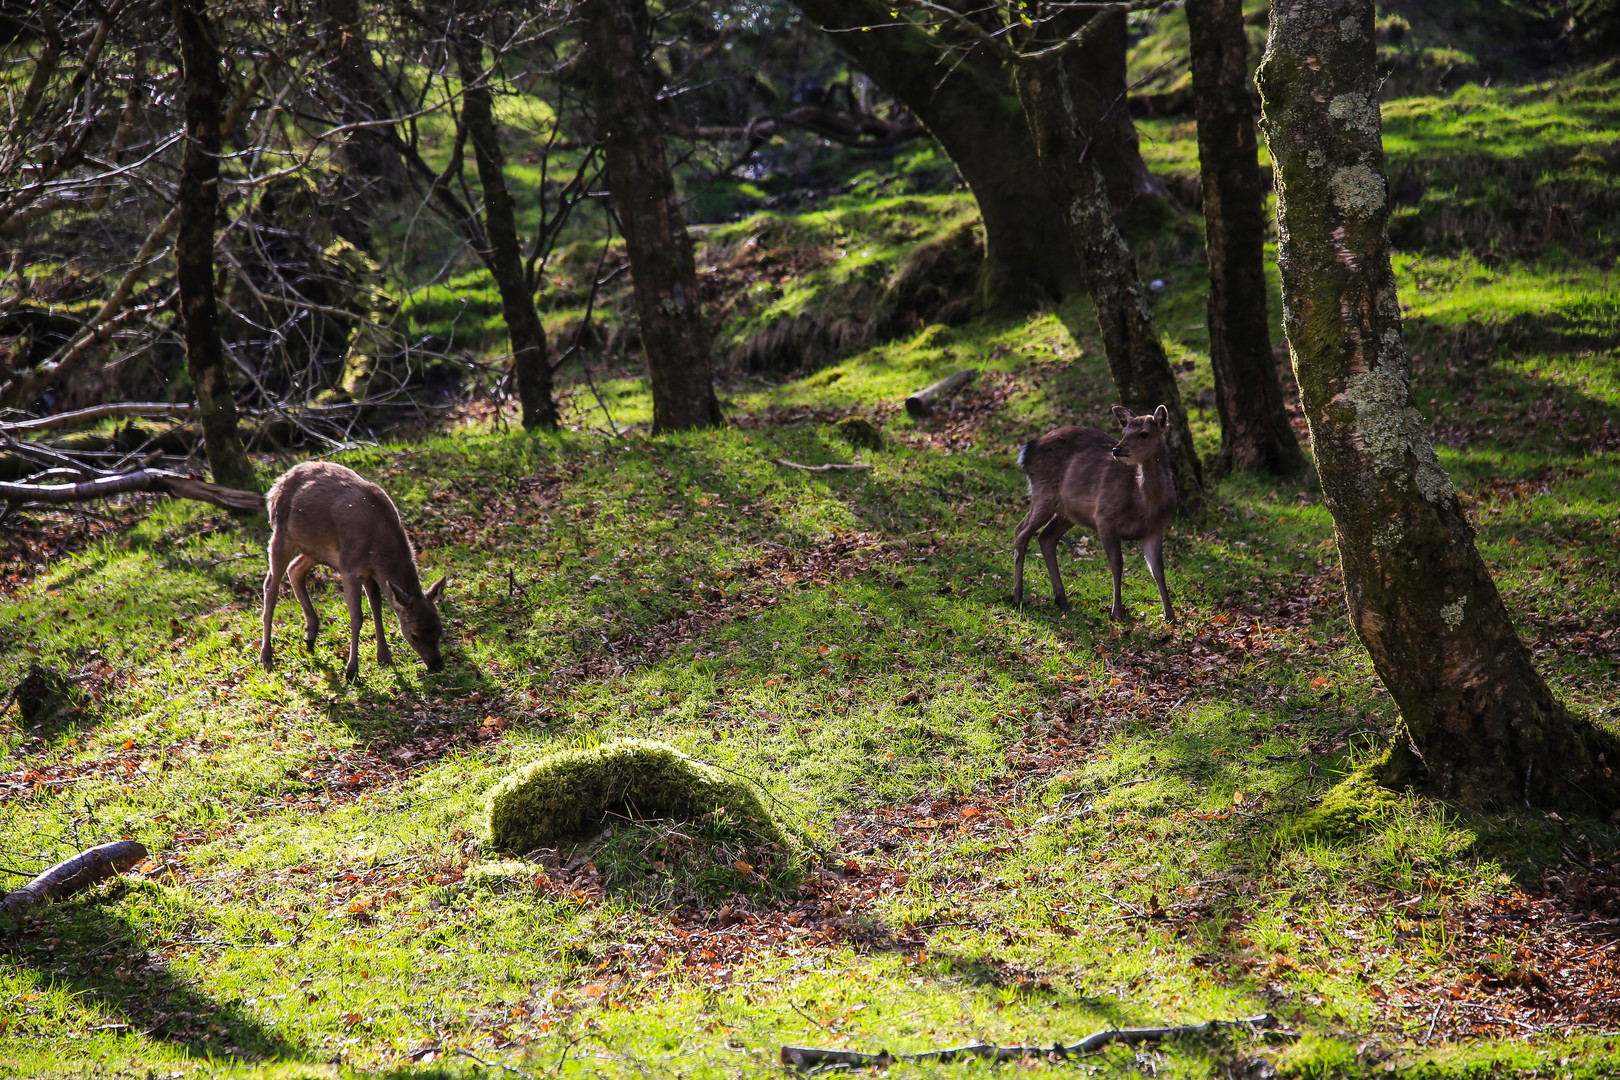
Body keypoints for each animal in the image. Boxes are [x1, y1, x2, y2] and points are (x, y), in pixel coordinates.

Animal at [260, 463, 450, 683]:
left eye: (439, 629)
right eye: (414, 635)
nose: (437, 664)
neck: (378, 547)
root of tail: (275, 485)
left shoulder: (370, 572)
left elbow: (377, 608)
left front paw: (384, 658)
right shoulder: (351, 567)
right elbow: (357, 617)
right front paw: (352, 671)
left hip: (315, 548)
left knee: (295, 569)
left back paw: (310, 633)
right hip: (281, 532)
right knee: (271, 586)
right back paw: (266, 657)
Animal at [1010, 404, 1179, 625]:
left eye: (1144, 433)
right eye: (1124, 432)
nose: (1117, 449)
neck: (1143, 503)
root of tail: (1027, 450)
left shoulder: (1155, 528)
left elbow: (1157, 569)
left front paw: (1171, 616)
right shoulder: (1105, 517)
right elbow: (1117, 564)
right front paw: (1117, 612)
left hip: (1067, 511)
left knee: (1046, 537)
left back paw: (1061, 600)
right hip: (1044, 493)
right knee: (1021, 531)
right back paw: (1017, 596)